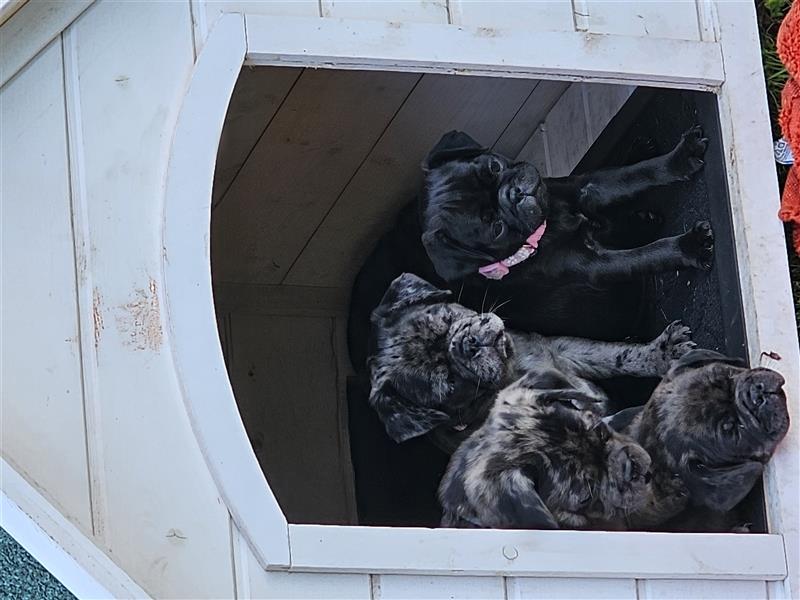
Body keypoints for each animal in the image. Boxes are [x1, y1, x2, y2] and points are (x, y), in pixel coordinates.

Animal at [350, 127, 712, 370]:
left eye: (493, 168)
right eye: (494, 227)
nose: (514, 194)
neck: (547, 226)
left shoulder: (583, 187)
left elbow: (632, 175)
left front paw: (679, 159)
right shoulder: (592, 265)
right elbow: (646, 255)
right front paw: (689, 246)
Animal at [368, 274, 692, 442]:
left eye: (448, 317)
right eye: (448, 383)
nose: (468, 344)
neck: (514, 370)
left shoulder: (561, 350)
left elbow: (613, 355)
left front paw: (661, 353)